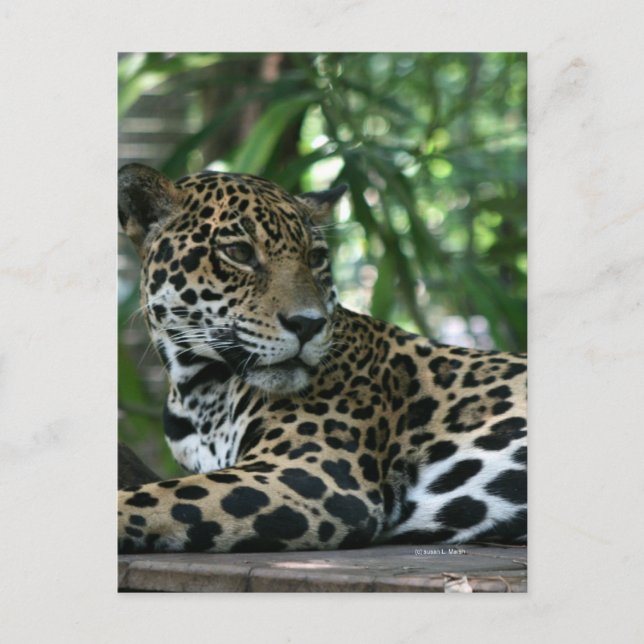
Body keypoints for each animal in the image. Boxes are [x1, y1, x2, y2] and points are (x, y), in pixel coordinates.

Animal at [117, 163, 527, 554]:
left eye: (315, 258)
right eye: (238, 253)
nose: (308, 324)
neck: (199, 389)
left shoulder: (309, 475)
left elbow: (150, 500)